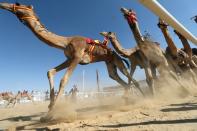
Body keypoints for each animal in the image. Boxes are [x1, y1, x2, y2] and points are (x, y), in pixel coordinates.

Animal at [0, 2, 132, 110]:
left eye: (18, 3)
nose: (3, 4)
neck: (66, 42)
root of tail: (114, 53)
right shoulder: (69, 59)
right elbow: (50, 71)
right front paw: (50, 106)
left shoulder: (77, 56)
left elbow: (64, 80)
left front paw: (51, 114)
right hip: (110, 63)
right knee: (116, 77)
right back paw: (127, 100)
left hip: (117, 60)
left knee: (128, 75)